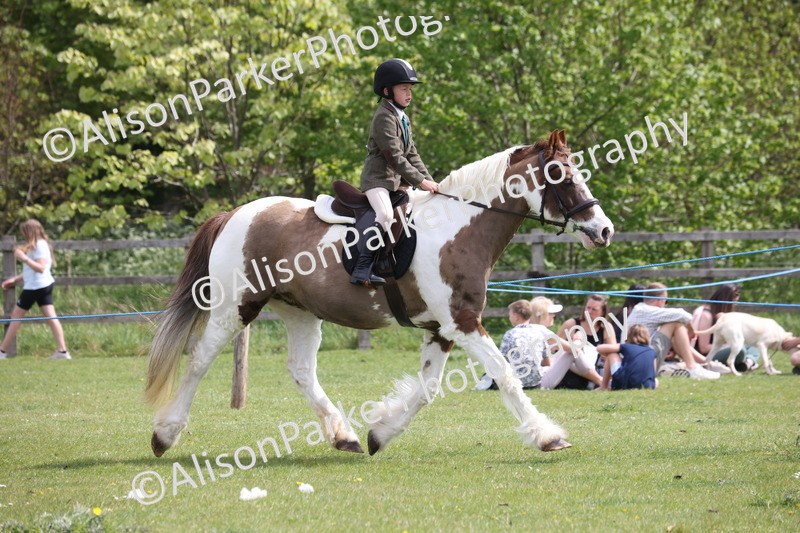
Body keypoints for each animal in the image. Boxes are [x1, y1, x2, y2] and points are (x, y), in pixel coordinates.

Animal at [145, 129, 614, 457]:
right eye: (561, 176)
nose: (604, 229)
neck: (459, 227)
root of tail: (234, 214)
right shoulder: (462, 323)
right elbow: (505, 374)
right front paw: (548, 436)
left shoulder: (442, 328)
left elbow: (427, 389)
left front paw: (379, 433)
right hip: (235, 307)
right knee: (199, 360)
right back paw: (164, 435)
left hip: (300, 312)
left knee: (302, 370)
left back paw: (345, 437)